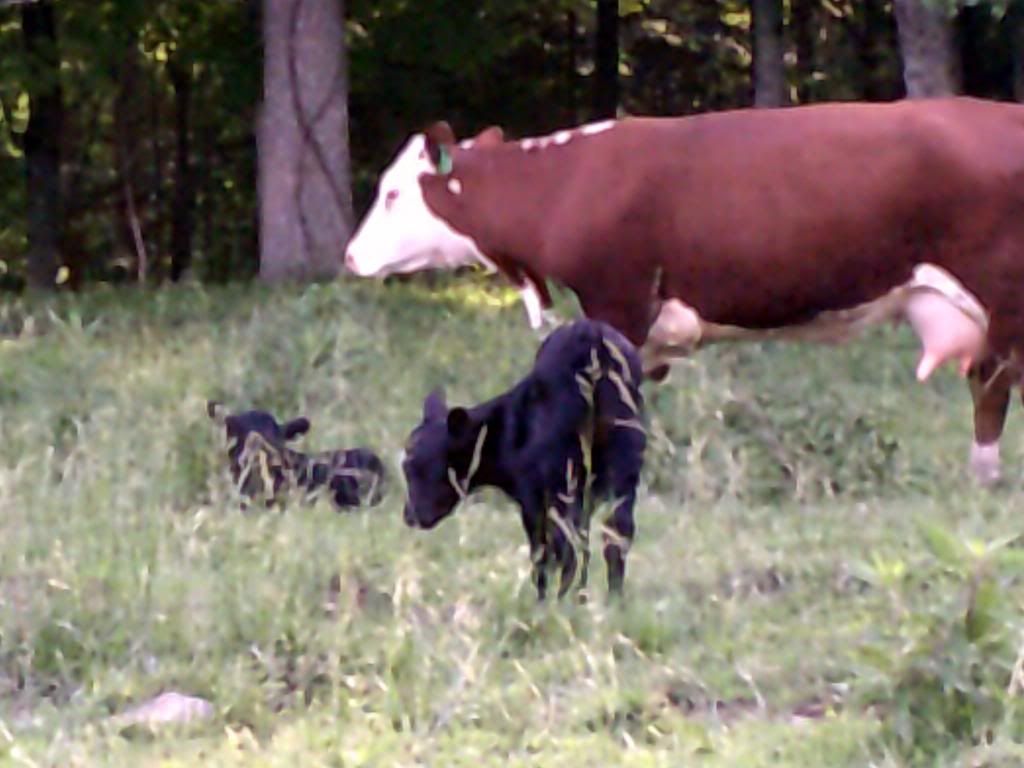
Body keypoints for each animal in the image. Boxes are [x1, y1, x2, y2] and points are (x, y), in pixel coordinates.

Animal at [345, 98, 1024, 487]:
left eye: (393, 192)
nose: (351, 255)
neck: (565, 185)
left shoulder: (616, 301)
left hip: (1002, 296)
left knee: (990, 389)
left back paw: (984, 477)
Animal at [401, 319, 646, 599]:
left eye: (418, 469)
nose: (409, 515)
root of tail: (595, 340)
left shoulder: (532, 498)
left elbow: (543, 554)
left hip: (560, 485)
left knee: (561, 548)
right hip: (623, 466)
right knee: (617, 535)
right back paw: (611, 599)